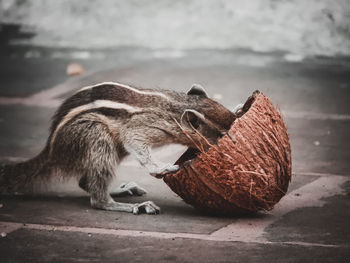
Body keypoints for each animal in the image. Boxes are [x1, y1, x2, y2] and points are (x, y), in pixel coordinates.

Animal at [0, 82, 239, 214]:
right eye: (221, 134)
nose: (233, 140)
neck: (176, 107)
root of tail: (51, 151)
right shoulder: (142, 127)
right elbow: (136, 142)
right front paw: (161, 168)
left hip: (114, 149)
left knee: (85, 181)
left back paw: (120, 190)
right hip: (95, 136)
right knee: (97, 198)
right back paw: (125, 205)